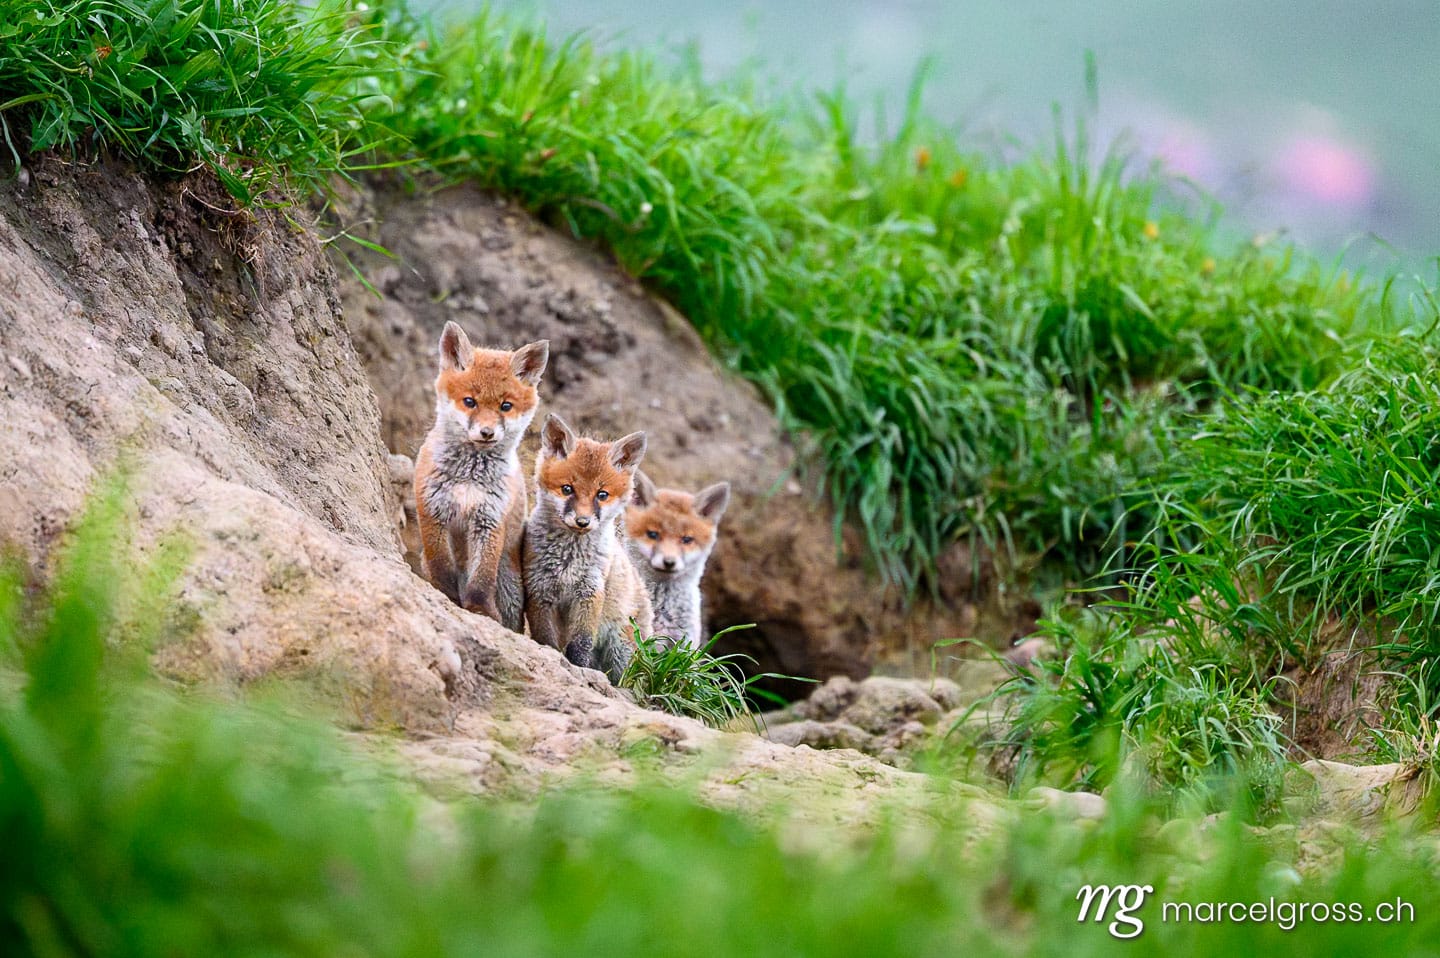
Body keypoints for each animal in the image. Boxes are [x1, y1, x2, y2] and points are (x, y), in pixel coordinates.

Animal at [413, 321, 549, 633]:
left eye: (506, 406)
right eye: (469, 402)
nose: (487, 433)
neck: (469, 479)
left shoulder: (489, 519)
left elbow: (481, 580)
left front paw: (480, 611)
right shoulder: (432, 511)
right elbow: (442, 567)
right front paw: (446, 596)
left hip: (510, 588)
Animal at [523, 413, 652, 681]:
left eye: (601, 495)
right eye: (567, 489)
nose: (582, 522)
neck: (568, 561)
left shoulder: (590, 591)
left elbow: (581, 643)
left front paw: (579, 668)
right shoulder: (539, 589)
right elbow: (546, 639)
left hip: (621, 648)